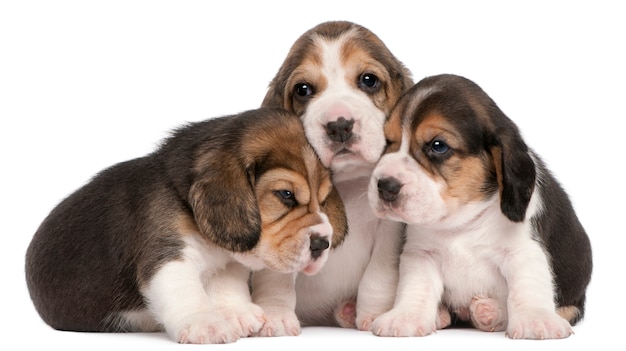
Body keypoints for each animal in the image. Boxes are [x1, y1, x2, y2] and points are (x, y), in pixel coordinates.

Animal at [24, 108, 346, 346]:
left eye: (323, 199)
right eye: (286, 195)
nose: (322, 244)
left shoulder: (226, 262)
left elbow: (225, 285)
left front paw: (236, 313)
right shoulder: (168, 254)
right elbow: (186, 291)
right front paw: (206, 324)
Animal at [251, 20, 412, 336]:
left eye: (369, 80)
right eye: (303, 89)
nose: (339, 125)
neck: (347, 185)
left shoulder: (390, 230)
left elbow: (380, 273)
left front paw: (375, 314)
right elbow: (277, 276)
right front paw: (276, 314)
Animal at [368, 75, 592, 340]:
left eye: (438, 146)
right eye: (388, 142)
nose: (385, 186)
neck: (463, 222)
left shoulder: (523, 252)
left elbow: (526, 288)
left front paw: (535, 320)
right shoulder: (421, 255)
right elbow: (416, 288)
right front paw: (405, 317)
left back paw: (491, 312)